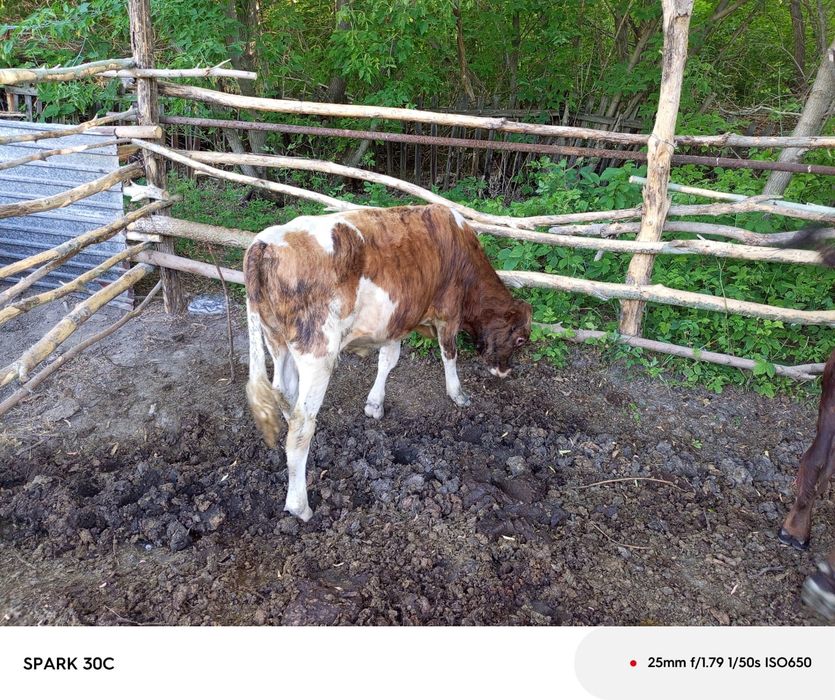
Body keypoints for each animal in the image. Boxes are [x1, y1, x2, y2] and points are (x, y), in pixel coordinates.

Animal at [243, 204, 532, 522]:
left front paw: (374, 404)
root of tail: (266, 241)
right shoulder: (448, 312)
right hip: (317, 352)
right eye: (521, 339)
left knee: (284, 394)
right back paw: (300, 506)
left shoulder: (396, 319)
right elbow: (449, 354)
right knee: (300, 425)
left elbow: (388, 361)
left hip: (277, 341)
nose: (506, 370)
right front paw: (458, 394)